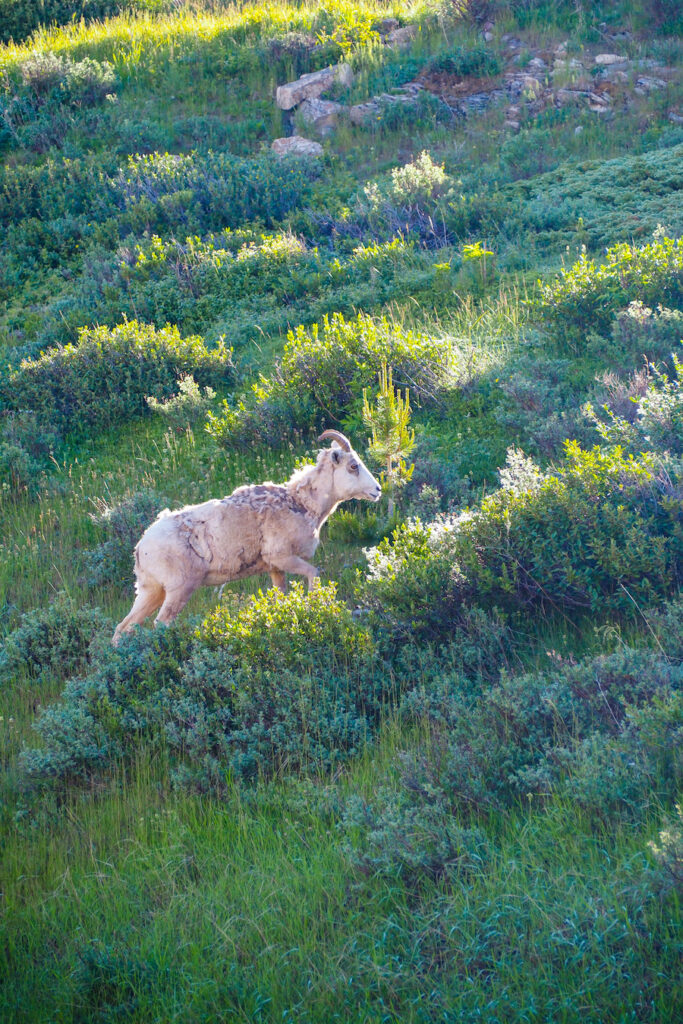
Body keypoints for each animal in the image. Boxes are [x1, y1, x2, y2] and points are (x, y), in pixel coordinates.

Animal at [112, 430, 381, 643]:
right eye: (353, 466)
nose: (377, 490)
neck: (303, 506)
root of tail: (140, 548)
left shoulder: (275, 569)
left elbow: (281, 597)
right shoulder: (283, 558)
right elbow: (314, 574)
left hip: (151, 591)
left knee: (123, 628)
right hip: (179, 589)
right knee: (161, 623)